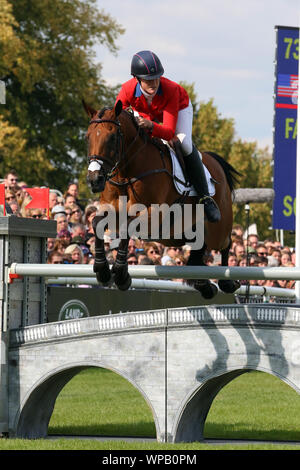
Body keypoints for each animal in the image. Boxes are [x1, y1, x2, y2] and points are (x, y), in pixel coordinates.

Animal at [82, 99, 241, 300]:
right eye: (87, 137)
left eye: (112, 138)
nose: (94, 180)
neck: (127, 173)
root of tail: (215, 162)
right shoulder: (112, 211)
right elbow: (96, 223)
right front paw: (102, 270)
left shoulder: (153, 214)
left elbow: (127, 227)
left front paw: (121, 275)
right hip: (175, 236)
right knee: (197, 253)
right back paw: (204, 285)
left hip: (216, 230)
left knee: (225, 243)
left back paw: (227, 282)